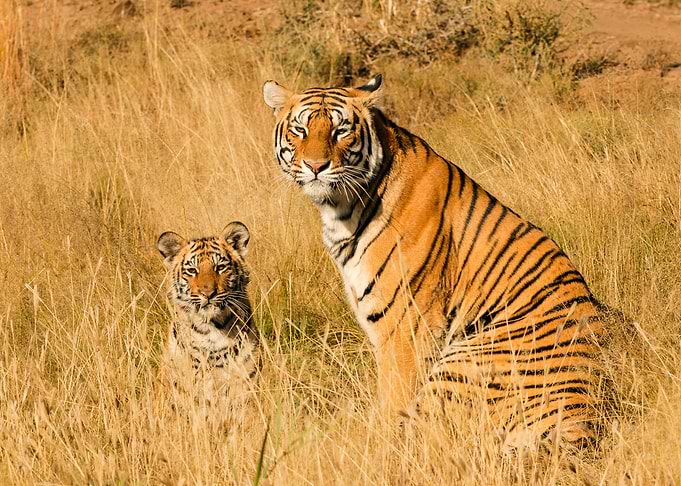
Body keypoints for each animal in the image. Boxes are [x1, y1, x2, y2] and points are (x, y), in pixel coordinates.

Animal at [262, 74, 609, 449]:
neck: (340, 210)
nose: (315, 167)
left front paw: (378, 445)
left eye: (341, 130)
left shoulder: (406, 326)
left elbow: (393, 402)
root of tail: (583, 421)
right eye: (299, 130)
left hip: (465, 360)